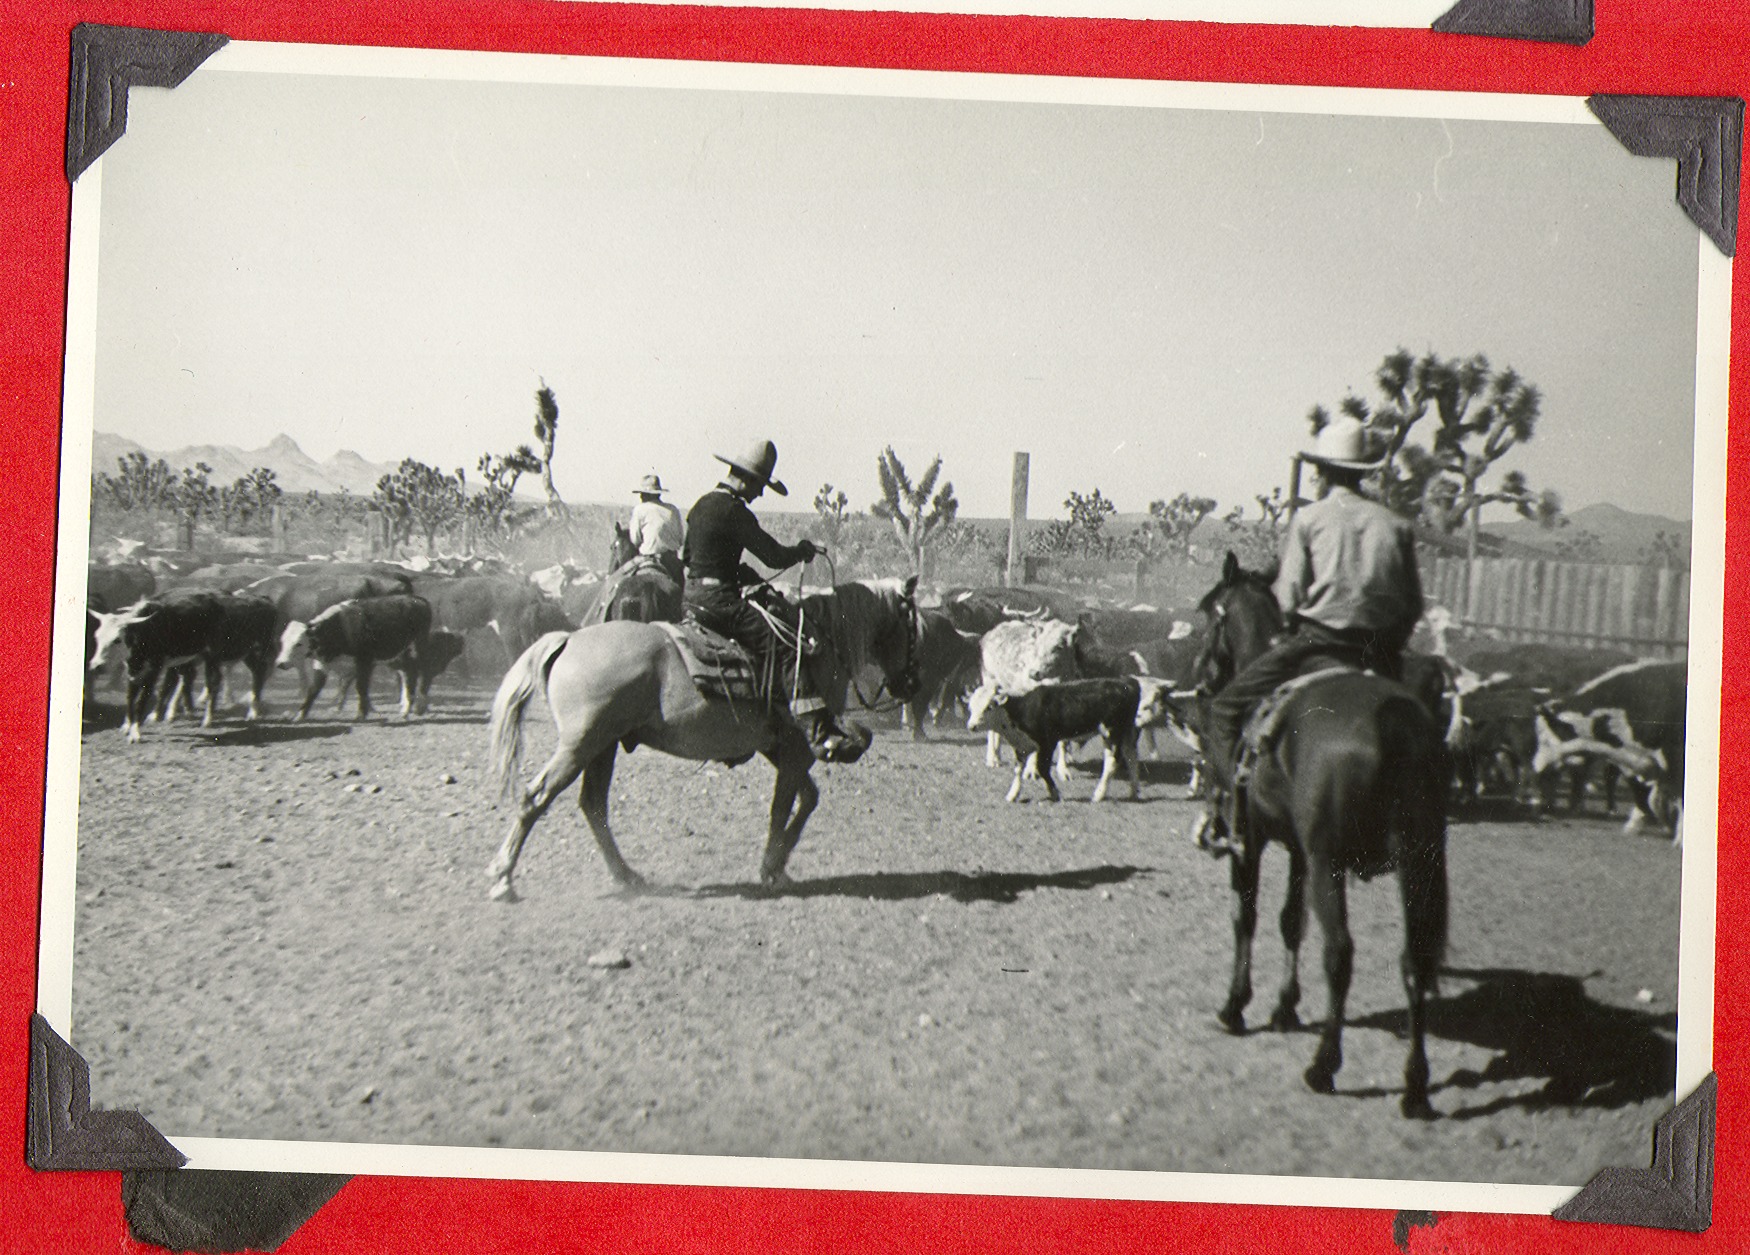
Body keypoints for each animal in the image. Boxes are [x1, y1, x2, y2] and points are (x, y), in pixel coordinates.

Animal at [278, 595, 435, 721]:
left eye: (299, 643)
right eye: (283, 641)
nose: (281, 663)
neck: (339, 629)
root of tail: (417, 599)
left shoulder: (364, 662)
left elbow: (361, 687)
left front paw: (361, 714)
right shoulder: (322, 665)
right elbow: (313, 689)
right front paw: (300, 715)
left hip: (416, 649)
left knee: (418, 673)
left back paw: (416, 707)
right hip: (396, 656)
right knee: (406, 674)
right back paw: (404, 708)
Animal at [966, 675, 1169, 801]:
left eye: (988, 706)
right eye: (971, 706)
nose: (971, 726)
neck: (1021, 709)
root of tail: (1127, 682)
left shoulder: (1047, 742)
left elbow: (1042, 768)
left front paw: (1054, 793)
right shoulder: (1022, 745)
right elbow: (1018, 769)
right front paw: (1012, 794)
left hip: (1112, 732)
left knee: (1113, 761)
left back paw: (1098, 795)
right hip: (1126, 732)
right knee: (1131, 758)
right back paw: (1133, 792)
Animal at [1190, 556, 1449, 1113]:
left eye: (1209, 616)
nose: (1200, 680)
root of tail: (1393, 720)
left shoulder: (1253, 841)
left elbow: (1246, 916)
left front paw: (1236, 1006)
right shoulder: (1298, 850)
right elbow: (1291, 921)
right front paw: (1285, 1007)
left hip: (1330, 862)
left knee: (1340, 954)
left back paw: (1324, 1065)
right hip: (1416, 859)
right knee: (1414, 960)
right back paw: (1415, 1085)